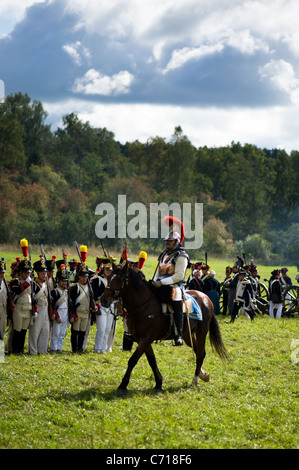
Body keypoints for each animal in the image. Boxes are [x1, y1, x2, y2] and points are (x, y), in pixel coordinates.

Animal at [101, 262, 230, 394]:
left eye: (119, 278)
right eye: (108, 276)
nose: (103, 300)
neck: (143, 304)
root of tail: (205, 297)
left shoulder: (146, 339)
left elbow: (133, 360)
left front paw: (123, 385)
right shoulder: (143, 341)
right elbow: (152, 361)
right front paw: (158, 383)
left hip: (201, 333)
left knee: (200, 353)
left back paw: (195, 380)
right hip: (187, 335)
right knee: (199, 351)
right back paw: (203, 375)